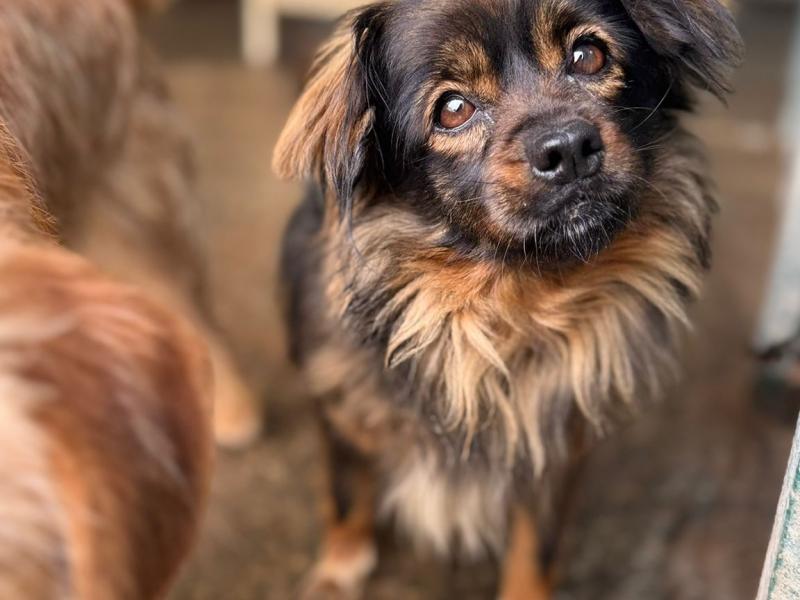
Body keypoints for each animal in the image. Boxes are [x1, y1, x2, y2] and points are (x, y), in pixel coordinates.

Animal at [274, 0, 743, 597]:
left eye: (589, 56)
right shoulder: (338, 403)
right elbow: (345, 486)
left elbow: (535, 548)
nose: (567, 147)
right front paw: (339, 565)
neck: (504, 308)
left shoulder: (558, 442)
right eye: (452, 109)